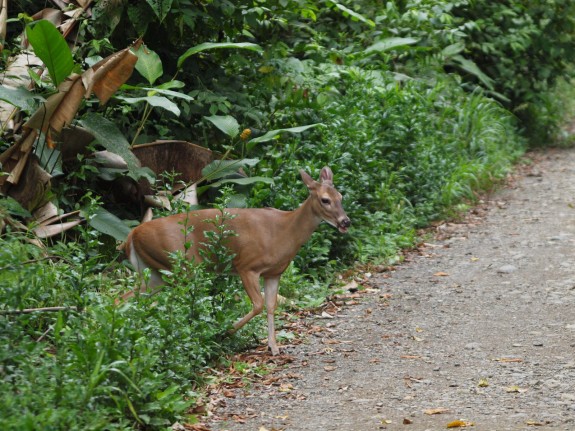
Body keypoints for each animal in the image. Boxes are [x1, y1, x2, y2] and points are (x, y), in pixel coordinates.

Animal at [119, 167, 348, 356]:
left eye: (340, 196)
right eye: (325, 200)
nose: (345, 221)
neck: (284, 231)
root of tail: (131, 236)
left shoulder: (274, 272)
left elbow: (271, 306)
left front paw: (273, 347)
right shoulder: (247, 265)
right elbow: (258, 304)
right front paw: (223, 333)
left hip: (155, 272)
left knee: (123, 298)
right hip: (181, 264)